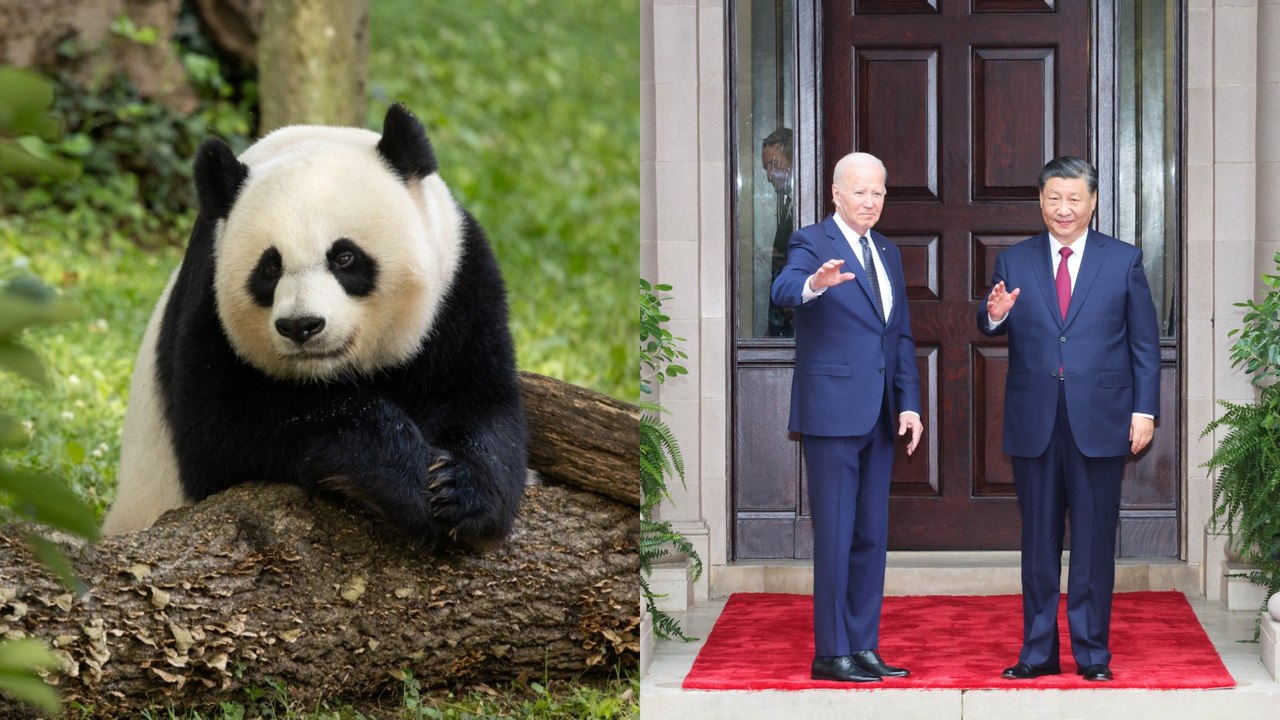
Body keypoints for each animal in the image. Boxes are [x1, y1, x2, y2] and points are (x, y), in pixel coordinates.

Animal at [102, 104, 528, 547]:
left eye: (344, 257)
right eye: (270, 268)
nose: (300, 325)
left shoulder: (460, 284)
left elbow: (479, 398)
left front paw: (460, 494)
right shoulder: (207, 306)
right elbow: (225, 431)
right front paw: (404, 478)